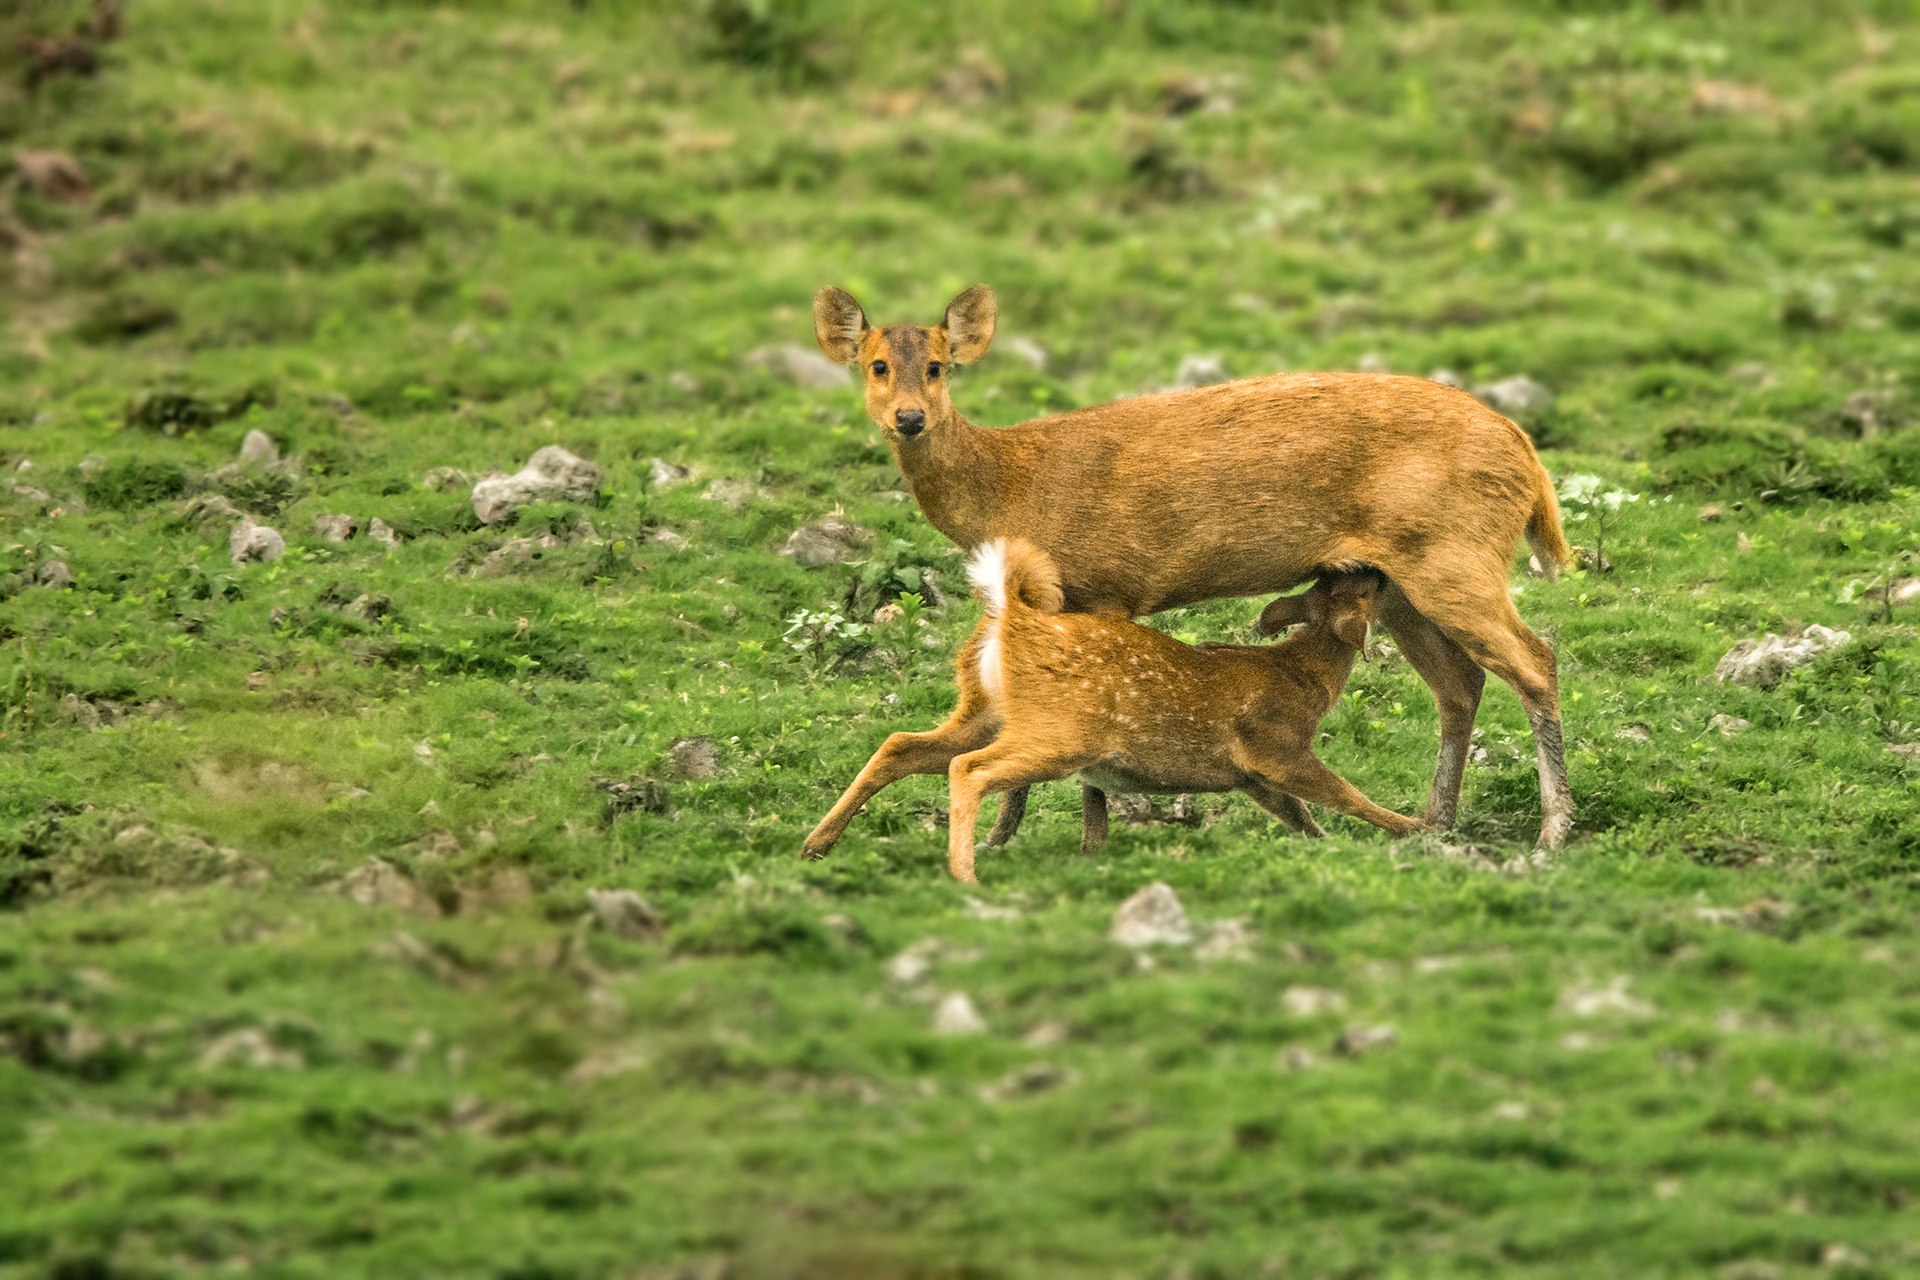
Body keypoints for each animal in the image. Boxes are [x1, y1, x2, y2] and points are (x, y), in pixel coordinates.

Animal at [810, 285, 1574, 855]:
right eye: (877, 365)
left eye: (939, 365)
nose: (910, 418)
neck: (1010, 486)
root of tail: (1528, 457)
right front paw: (1008, 834)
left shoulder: (1110, 583)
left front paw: (1079, 839)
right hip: (1400, 578)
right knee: (1460, 684)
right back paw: (1437, 823)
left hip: (1454, 554)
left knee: (1535, 662)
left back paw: (1553, 829)